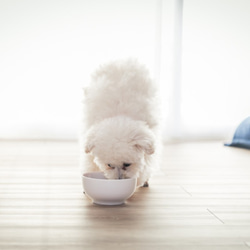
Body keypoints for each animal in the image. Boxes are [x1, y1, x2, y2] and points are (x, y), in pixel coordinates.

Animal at [83, 59, 159, 187]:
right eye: (109, 165)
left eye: (127, 164)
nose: (119, 179)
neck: (119, 115)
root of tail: (122, 61)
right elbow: (89, 161)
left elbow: (146, 163)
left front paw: (140, 179)